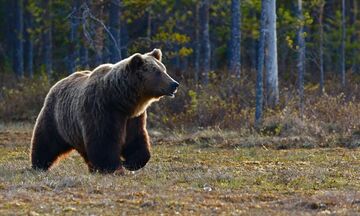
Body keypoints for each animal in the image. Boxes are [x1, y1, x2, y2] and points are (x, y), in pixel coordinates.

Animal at [29, 49, 179, 174]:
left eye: (164, 69)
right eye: (157, 72)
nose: (174, 84)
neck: (121, 100)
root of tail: (58, 83)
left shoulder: (133, 117)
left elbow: (136, 139)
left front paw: (130, 163)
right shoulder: (102, 110)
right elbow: (104, 141)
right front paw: (113, 167)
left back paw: (92, 168)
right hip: (55, 118)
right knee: (46, 141)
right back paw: (39, 165)